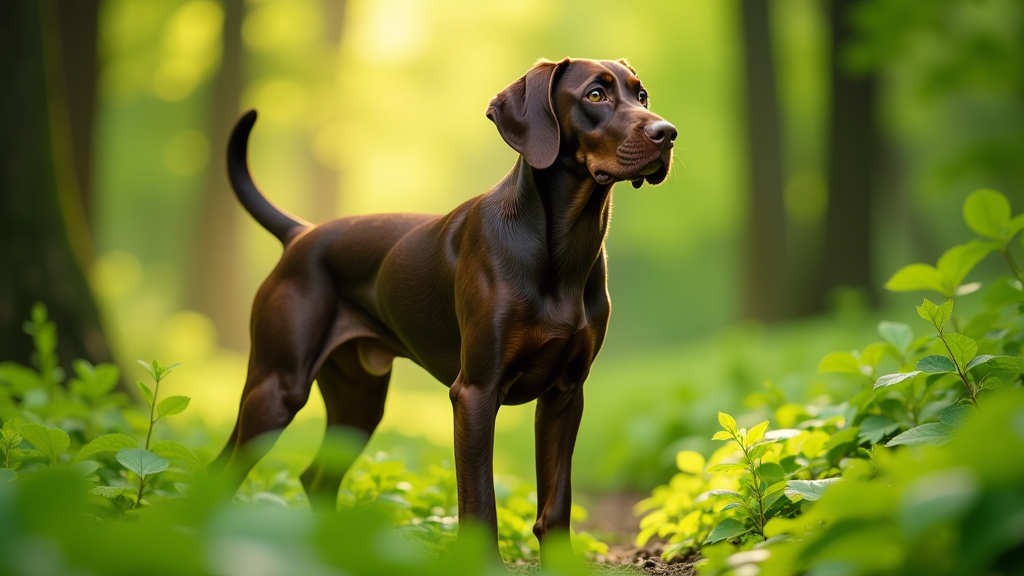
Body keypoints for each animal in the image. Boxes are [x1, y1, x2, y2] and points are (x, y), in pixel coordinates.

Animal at [208, 56, 675, 557]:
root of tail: (301, 233)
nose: (668, 133)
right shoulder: (475, 393)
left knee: (315, 477)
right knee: (224, 472)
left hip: (359, 401)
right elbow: (480, 506)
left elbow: (556, 505)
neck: (564, 249)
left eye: (641, 95)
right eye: (595, 95)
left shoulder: (566, 393)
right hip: (278, 388)